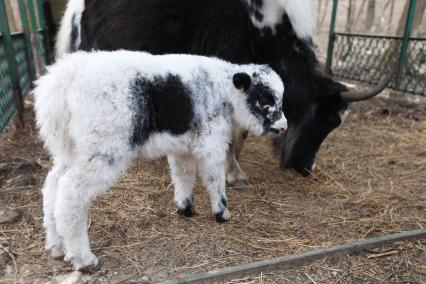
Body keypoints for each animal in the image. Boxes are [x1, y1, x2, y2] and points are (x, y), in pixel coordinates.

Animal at [33, 51, 286, 270]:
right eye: (264, 97)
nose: (283, 126)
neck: (221, 90)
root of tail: (66, 77)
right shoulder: (211, 142)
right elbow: (214, 179)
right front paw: (221, 213)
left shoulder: (183, 146)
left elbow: (183, 175)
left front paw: (185, 208)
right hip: (102, 149)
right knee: (71, 194)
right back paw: (83, 258)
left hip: (70, 149)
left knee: (52, 186)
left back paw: (56, 246)